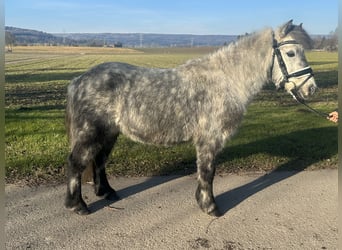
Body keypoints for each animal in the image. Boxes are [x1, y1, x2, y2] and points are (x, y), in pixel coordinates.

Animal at [65, 20, 316, 215]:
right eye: (291, 53)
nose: (311, 88)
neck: (226, 81)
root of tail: (78, 81)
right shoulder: (210, 140)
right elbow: (207, 172)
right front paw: (210, 207)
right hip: (91, 133)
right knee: (76, 163)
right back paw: (77, 206)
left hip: (109, 132)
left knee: (99, 161)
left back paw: (107, 192)